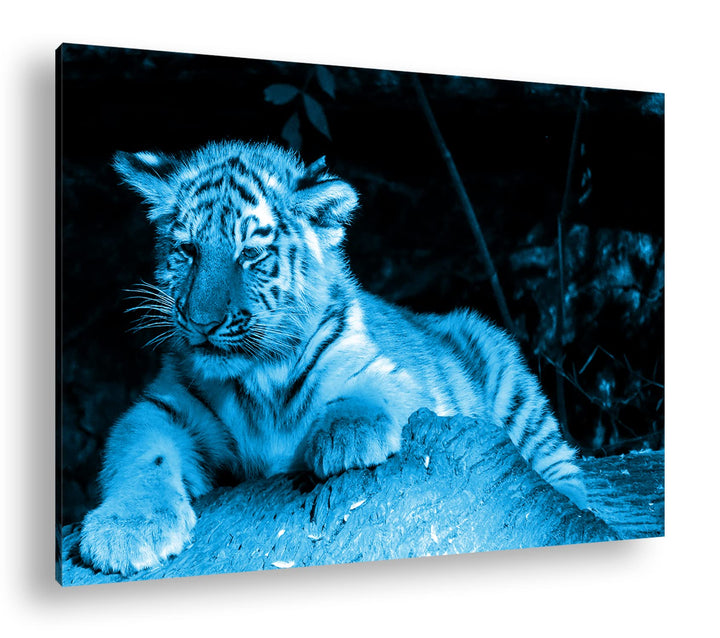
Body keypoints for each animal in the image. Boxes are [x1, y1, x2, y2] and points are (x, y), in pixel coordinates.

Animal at [79, 140, 587, 576]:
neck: (257, 376)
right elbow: (143, 455)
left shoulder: (394, 375)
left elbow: (366, 394)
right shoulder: (165, 408)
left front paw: (349, 437)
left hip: (504, 368)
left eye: (250, 254)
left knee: (560, 466)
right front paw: (125, 531)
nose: (202, 321)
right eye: (188, 250)